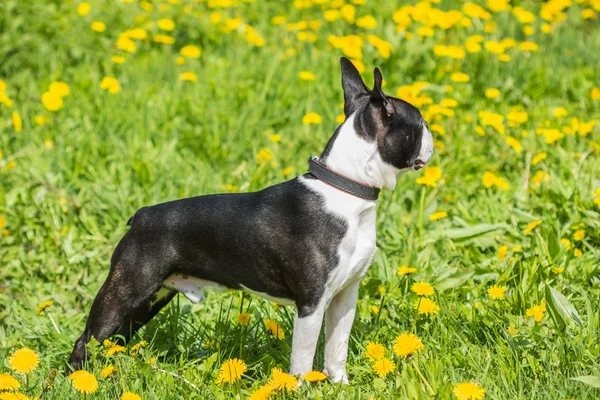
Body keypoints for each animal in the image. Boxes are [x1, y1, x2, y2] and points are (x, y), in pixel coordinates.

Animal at [67, 55, 432, 382]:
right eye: (421, 124)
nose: (434, 137)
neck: (347, 188)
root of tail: (141, 215)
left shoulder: (345, 296)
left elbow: (336, 349)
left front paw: (339, 385)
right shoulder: (311, 303)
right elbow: (303, 359)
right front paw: (301, 388)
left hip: (148, 300)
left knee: (112, 339)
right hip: (128, 289)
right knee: (86, 339)